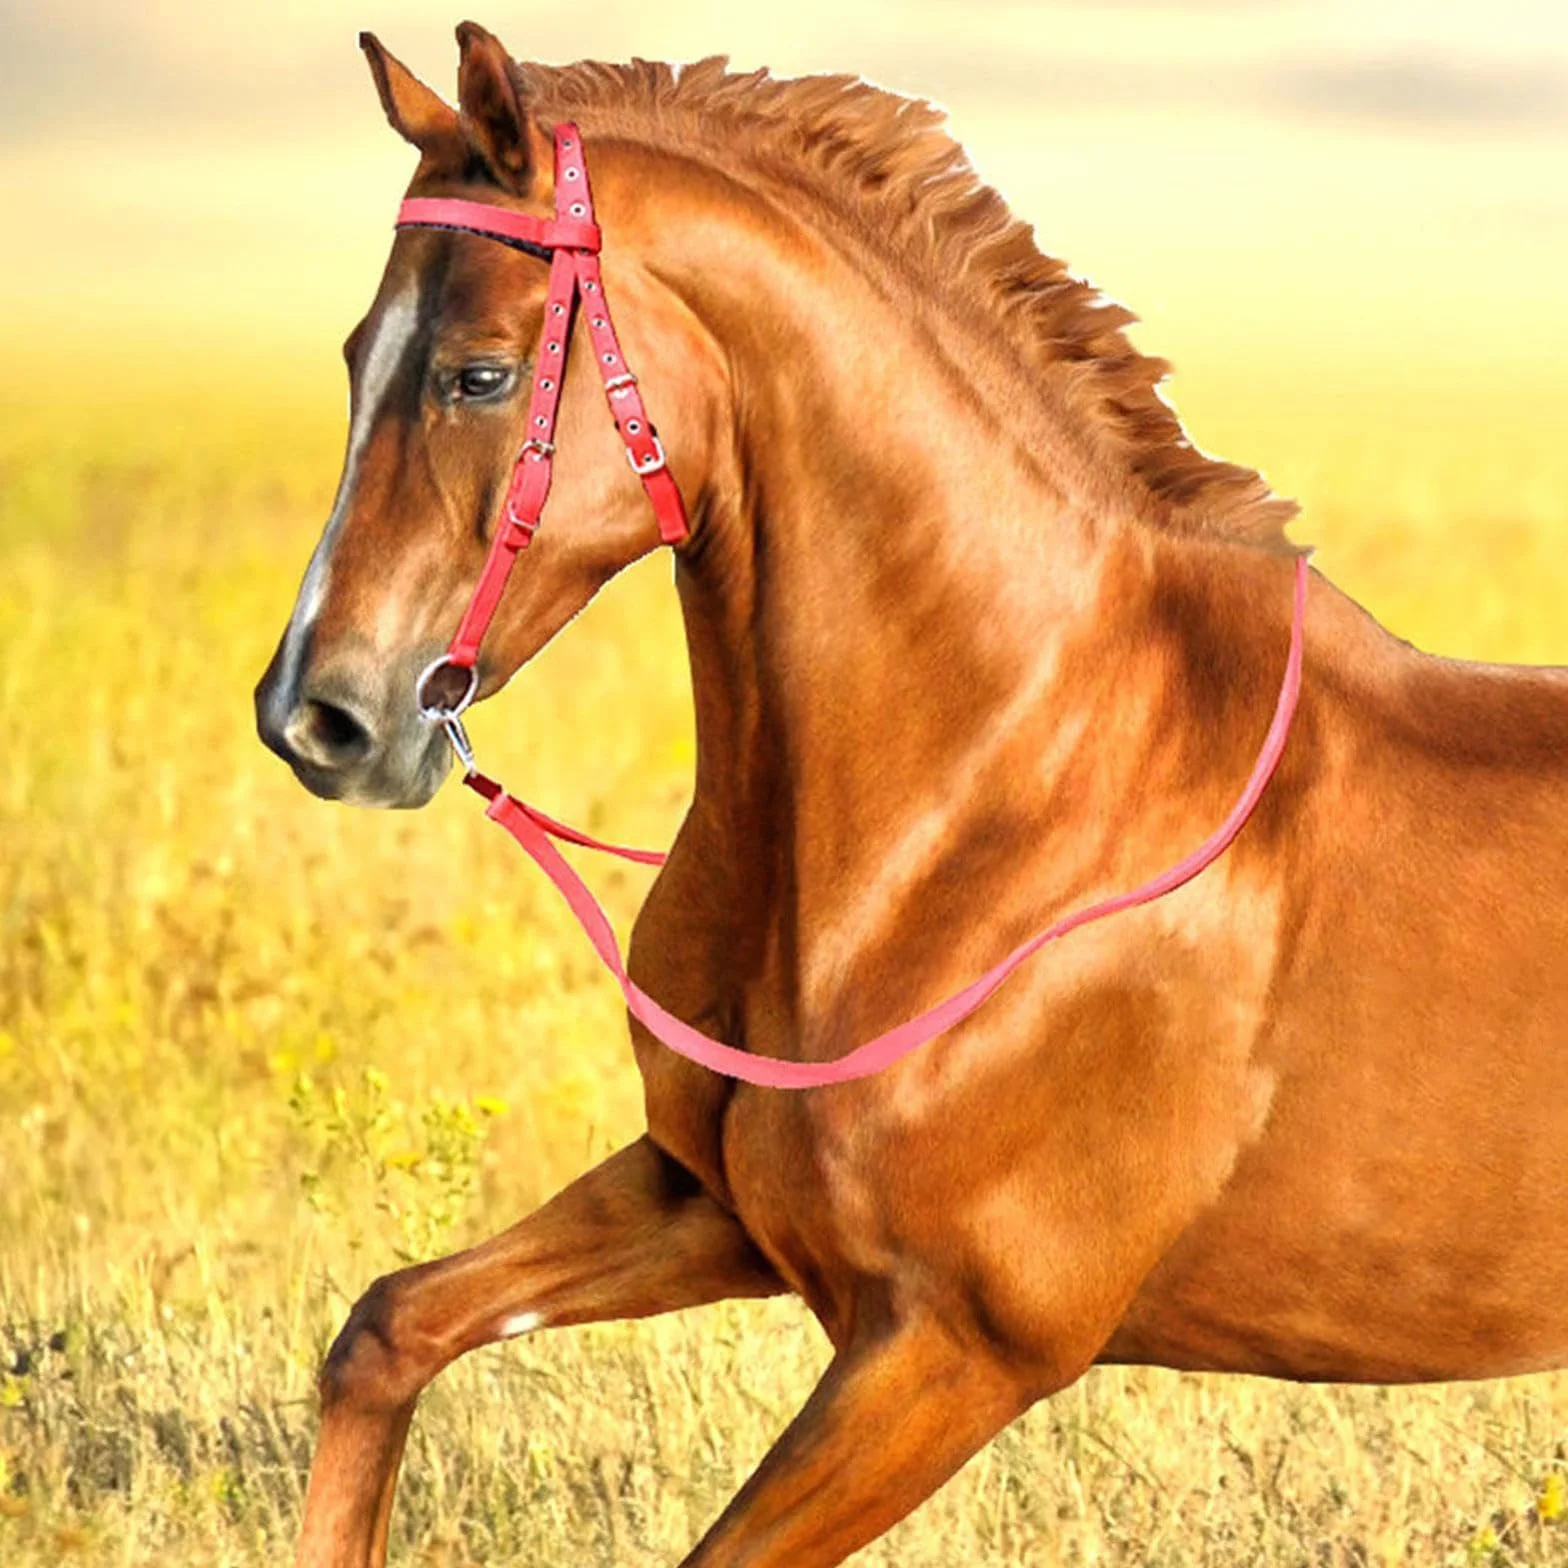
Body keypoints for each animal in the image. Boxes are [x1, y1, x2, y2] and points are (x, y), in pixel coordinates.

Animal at [254, 24, 1568, 1568]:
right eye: (358, 355)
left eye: (477, 374)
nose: (317, 715)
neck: (1008, 792)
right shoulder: (712, 1203)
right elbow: (384, 1327)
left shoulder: (956, 1350)